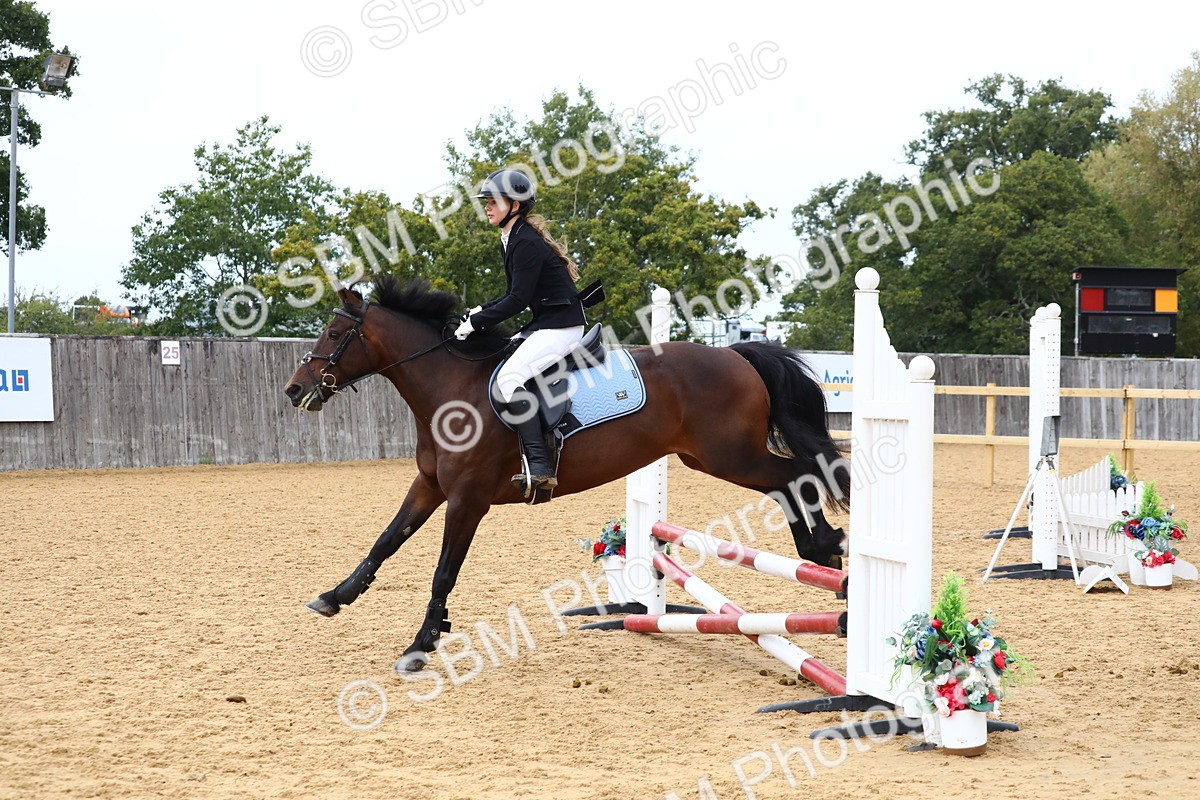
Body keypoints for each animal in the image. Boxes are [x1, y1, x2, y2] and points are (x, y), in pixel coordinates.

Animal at [283, 276, 850, 671]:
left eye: (335, 332)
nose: (293, 390)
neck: (451, 389)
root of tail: (736, 356)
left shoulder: (467, 499)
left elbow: (444, 570)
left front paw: (421, 644)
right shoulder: (430, 486)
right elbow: (385, 540)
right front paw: (334, 597)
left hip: (730, 456)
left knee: (798, 475)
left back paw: (826, 548)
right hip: (713, 458)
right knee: (789, 481)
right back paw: (821, 551)